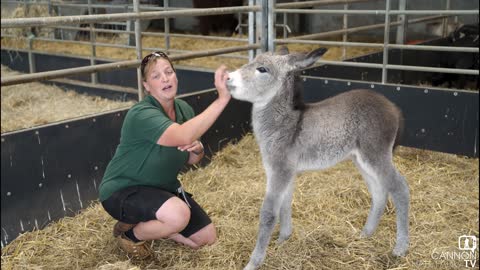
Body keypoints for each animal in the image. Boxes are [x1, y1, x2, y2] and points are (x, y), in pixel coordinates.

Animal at [227, 47, 410, 268]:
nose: (227, 77)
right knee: (379, 192)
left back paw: (400, 249)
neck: (285, 124)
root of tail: (394, 107)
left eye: (262, 69)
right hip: (361, 159)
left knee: (400, 188)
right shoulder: (286, 172)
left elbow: (269, 213)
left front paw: (253, 262)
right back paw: (365, 234)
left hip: (376, 153)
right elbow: (285, 203)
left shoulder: (280, 170)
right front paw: (283, 238)